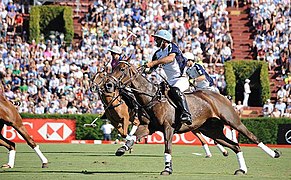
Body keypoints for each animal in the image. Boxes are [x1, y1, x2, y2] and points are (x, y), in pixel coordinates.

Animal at [91, 71, 228, 158]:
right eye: (93, 77)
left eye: (101, 76)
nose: (92, 87)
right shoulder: (117, 122)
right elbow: (125, 133)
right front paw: (127, 145)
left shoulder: (128, 118)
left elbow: (127, 132)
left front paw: (130, 144)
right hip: (194, 124)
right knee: (202, 135)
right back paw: (217, 151)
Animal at [109, 61, 280, 175]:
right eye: (113, 67)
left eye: (122, 69)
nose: (109, 85)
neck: (152, 97)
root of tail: (223, 96)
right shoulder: (149, 127)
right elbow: (133, 136)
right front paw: (122, 148)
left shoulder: (168, 127)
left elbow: (167, 147)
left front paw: (167, 169)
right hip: (213, 131)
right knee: (235, 146)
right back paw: (241, 169)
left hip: (232, 121)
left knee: (252, 137)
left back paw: (274, 154)